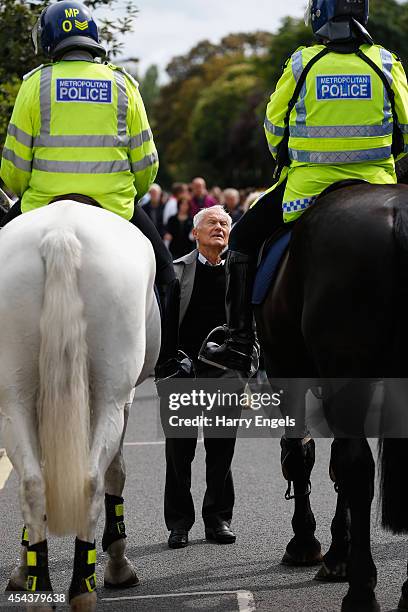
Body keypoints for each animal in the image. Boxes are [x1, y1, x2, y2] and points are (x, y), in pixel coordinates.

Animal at [0, 200, 162, 608]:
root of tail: (61, 235)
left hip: (14, 398)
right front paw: (118, 563)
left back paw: (39, 588)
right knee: (90, 481)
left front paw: (23, 568)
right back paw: (83, 590)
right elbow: (116, 471)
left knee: (32, 483)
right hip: (110, 395)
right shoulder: (125, 399)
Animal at [253, 184, 408, 612]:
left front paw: (307, 543)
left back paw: (361, 591)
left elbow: (302, 455)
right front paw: (338, 550)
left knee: (356, 467)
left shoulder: (287, 374)